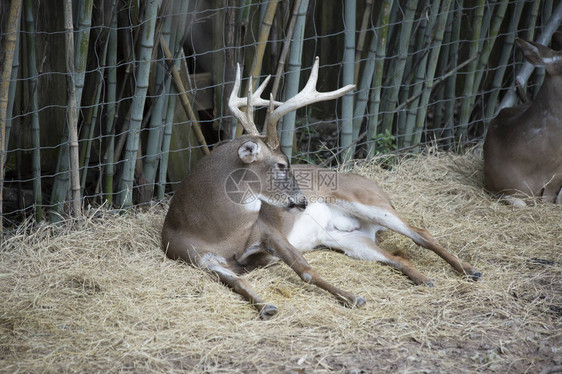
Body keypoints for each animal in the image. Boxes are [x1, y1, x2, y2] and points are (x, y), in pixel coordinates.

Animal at [160, 57, 480, 318]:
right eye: (281, 164)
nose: (303, 201)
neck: (216, 231)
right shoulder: (196, 258)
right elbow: (237, 281)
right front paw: (266, 306)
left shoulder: (268, 230)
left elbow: (305, 269)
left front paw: (352, 296)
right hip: (348, 240)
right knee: (396, 257)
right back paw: (426, 279)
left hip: (368, 201)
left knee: (421, 232)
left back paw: (470, 270)